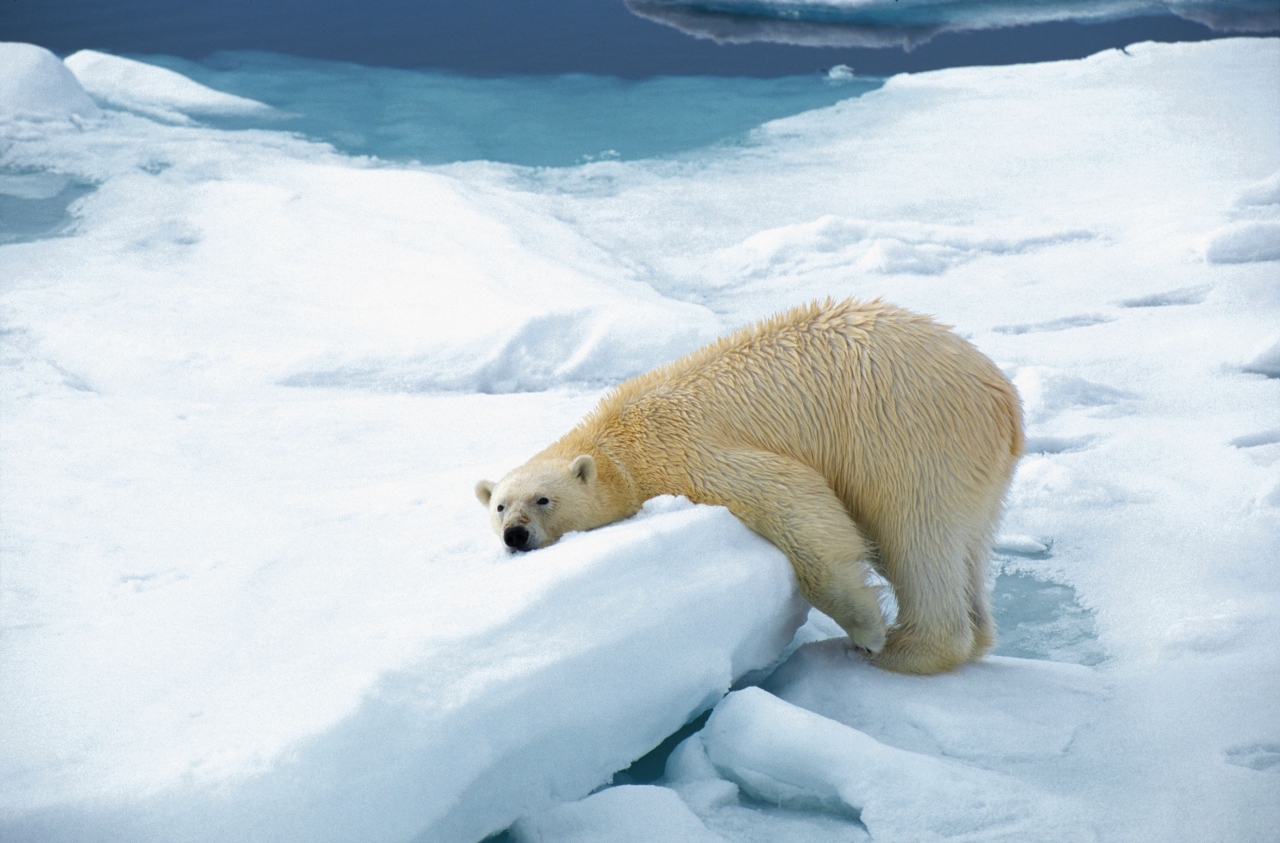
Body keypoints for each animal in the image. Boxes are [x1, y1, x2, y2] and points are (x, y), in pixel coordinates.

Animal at [476, 300, 1024, 675]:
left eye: (542, 500)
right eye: (500, 506)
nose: (515, 535)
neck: (621, 440)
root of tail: (1004, 401)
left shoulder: (688, 451)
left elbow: (793, 497)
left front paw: (867, 630)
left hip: (906, 434)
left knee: (915, 532)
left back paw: (904, 650)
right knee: (966, 543)